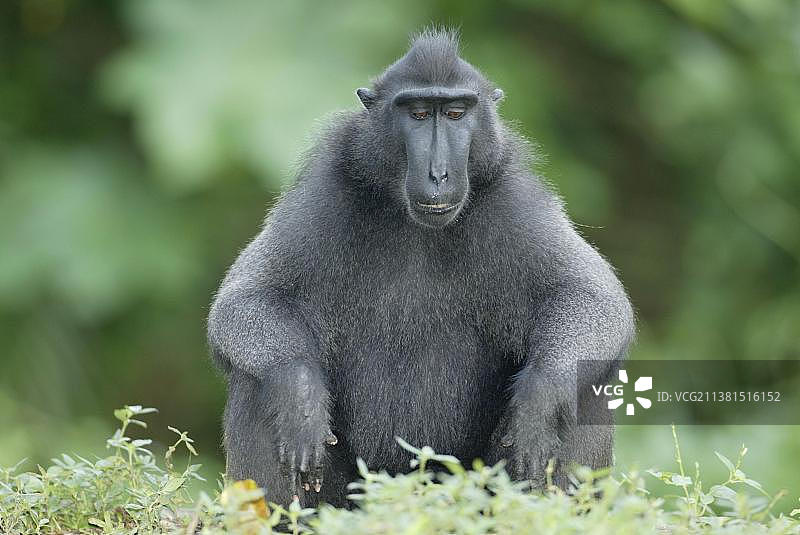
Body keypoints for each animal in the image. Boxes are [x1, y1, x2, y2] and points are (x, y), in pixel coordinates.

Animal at [207, 29, 634, 507]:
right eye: (417, 113)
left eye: (455, 113)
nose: (438, 174)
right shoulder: (325, 192)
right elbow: (249, 298)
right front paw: (299, 399)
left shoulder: (514, 200)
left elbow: (589, 295)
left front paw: (540, 401)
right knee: (254, 381)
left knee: (589, 379)